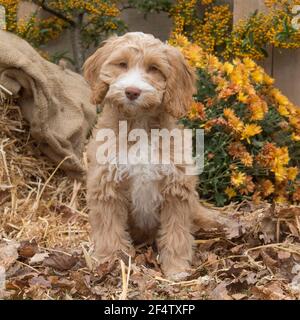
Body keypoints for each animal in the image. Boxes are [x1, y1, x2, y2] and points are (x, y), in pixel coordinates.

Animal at [84, 32, 232, 280]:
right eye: (122, 64)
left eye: (154, 68)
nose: (132, 91)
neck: (139, 124)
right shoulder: (107, 185)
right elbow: (109, 229)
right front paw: (111, 261)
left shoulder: (176, 188)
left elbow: (176, 233)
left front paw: (177, 268)